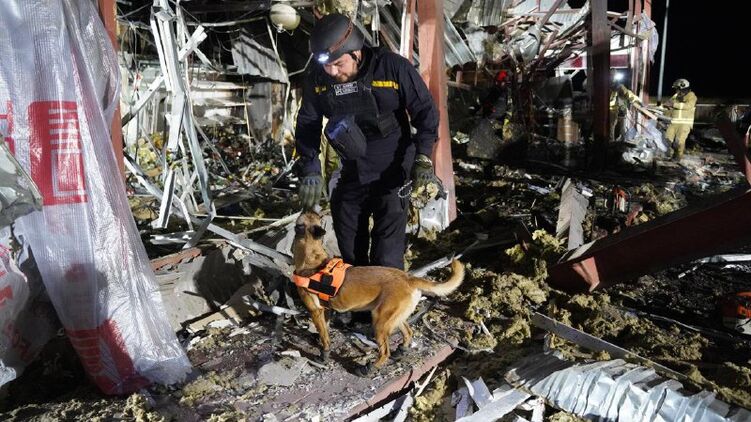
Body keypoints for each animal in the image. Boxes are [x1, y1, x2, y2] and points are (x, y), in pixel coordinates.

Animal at [291, 211, 465, 375]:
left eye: (299, 223)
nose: (311, 209)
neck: (312, 258)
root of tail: (408, 278)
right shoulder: (325, 310)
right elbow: (325, 330)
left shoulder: (315, 311)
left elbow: (325, 338)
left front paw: (323, 356)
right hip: (393, 317)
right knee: (408, 332)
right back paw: (401, 350)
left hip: (379, 321)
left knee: (385, 352)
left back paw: (369, 369)